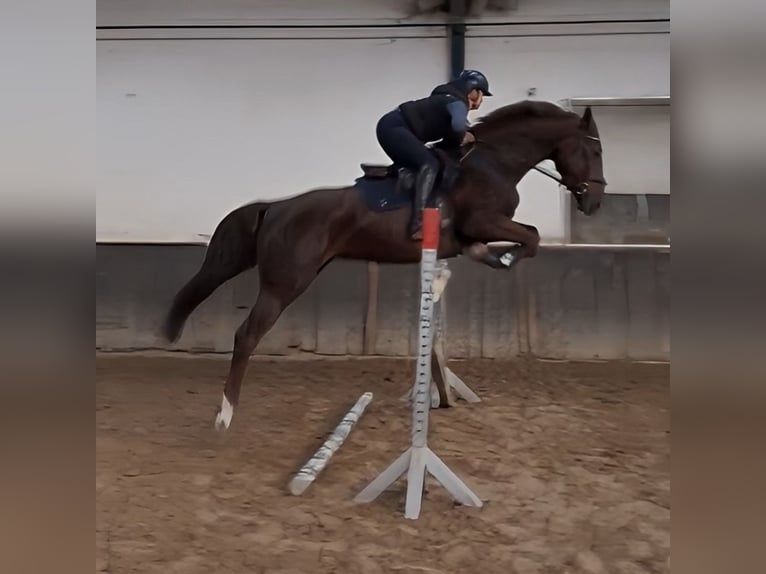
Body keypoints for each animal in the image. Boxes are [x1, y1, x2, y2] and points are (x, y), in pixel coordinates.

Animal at [159, 99, 608, 432]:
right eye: (597, 150)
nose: (595, 201)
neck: (493, 162)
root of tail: (276, 208)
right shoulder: (484, 221)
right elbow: (530, 237)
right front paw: (506, 257)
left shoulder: (471, 234)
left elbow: (515, 239)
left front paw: (492, 256)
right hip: (284, 284)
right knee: (246, 336)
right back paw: (225, 416)